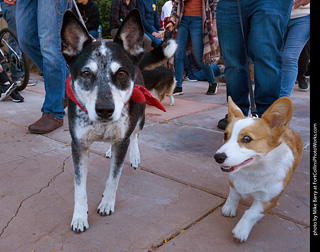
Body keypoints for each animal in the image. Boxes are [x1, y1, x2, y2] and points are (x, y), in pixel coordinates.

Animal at [60, 10, 178, 234]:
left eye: (121, 73)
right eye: (86, 73)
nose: (105, 110)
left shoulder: (122, 138)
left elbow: (113, 178)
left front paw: (107, 203)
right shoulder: (78, 146)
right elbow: (80, 187)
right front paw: (79, 216)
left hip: (139, 118)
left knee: (135, 136)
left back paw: (134, 155)